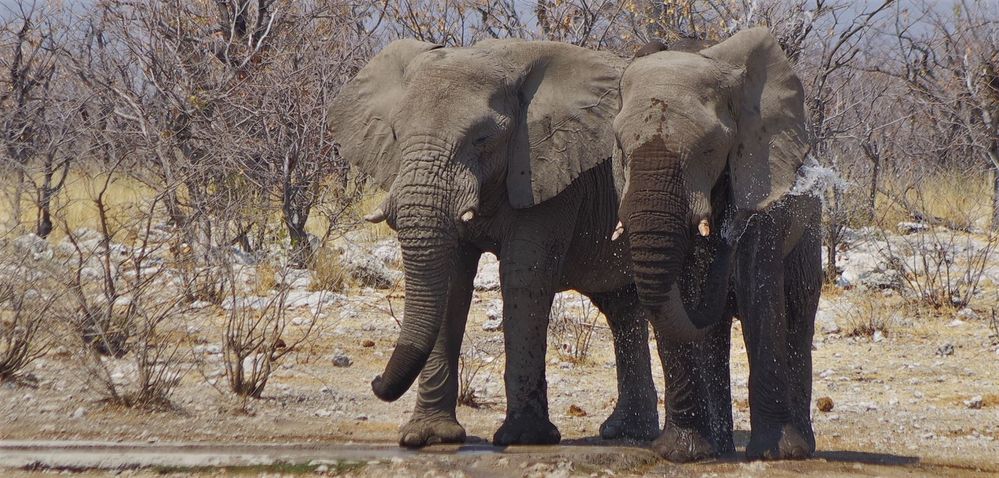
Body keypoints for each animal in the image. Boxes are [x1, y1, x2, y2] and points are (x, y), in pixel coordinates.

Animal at [330, 39, 664, 446]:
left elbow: (523, 278)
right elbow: (451, 283)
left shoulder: (548, 172)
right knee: (622, 308)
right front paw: (431, 436)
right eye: (395, 134)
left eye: (483, 139)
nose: (376, 382)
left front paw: (524, 438)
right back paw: (626, 433)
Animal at [612, 28, 824, 462]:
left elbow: (759, 290)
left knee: (797, 311)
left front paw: (775, 453)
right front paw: (681, 453)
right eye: (620, 148)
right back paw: (722, 448)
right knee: (714, 331)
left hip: (810, 227)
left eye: (711, 148)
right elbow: (676, 300)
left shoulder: (762, 182)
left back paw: (802, 448)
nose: (724, 231)